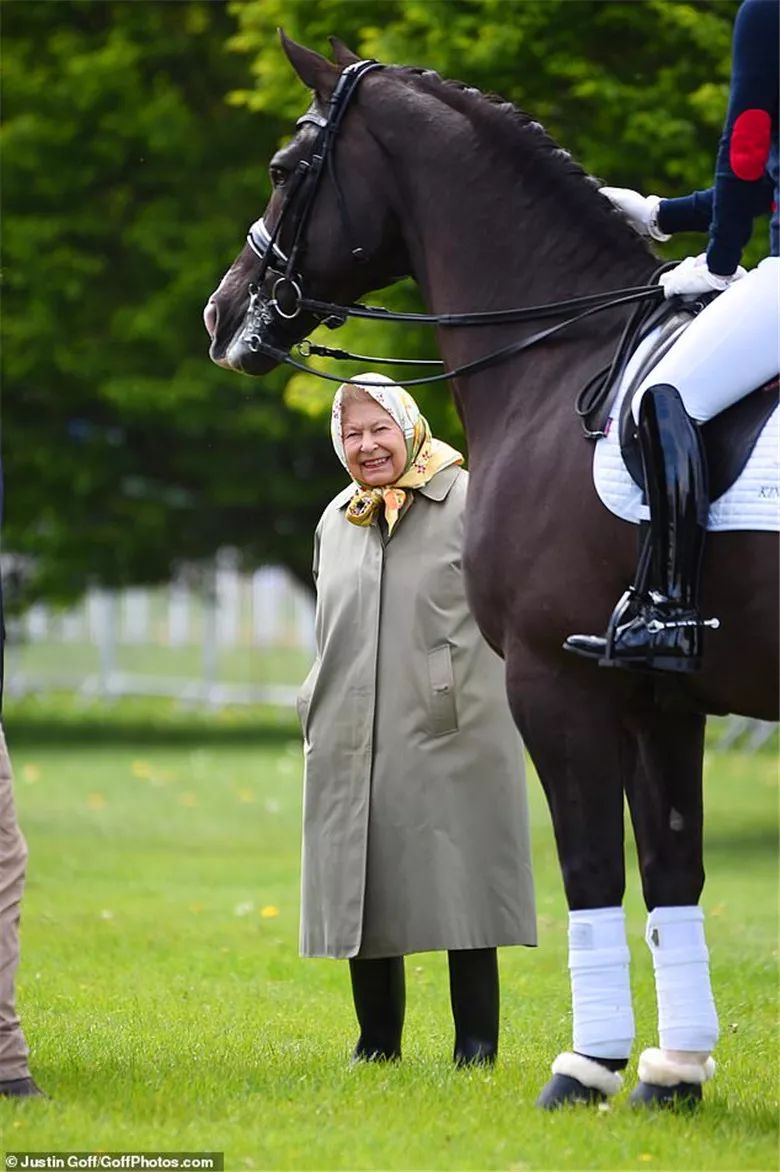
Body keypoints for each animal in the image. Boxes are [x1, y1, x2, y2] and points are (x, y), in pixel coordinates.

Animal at [203, 34, 772, 1106]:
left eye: (285, 168)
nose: (220, 318)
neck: (564, 358)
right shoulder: (657, 699)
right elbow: (673, 868)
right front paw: (674, 1073)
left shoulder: (559, 679)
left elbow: (590, 868)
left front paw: (586, 1069)